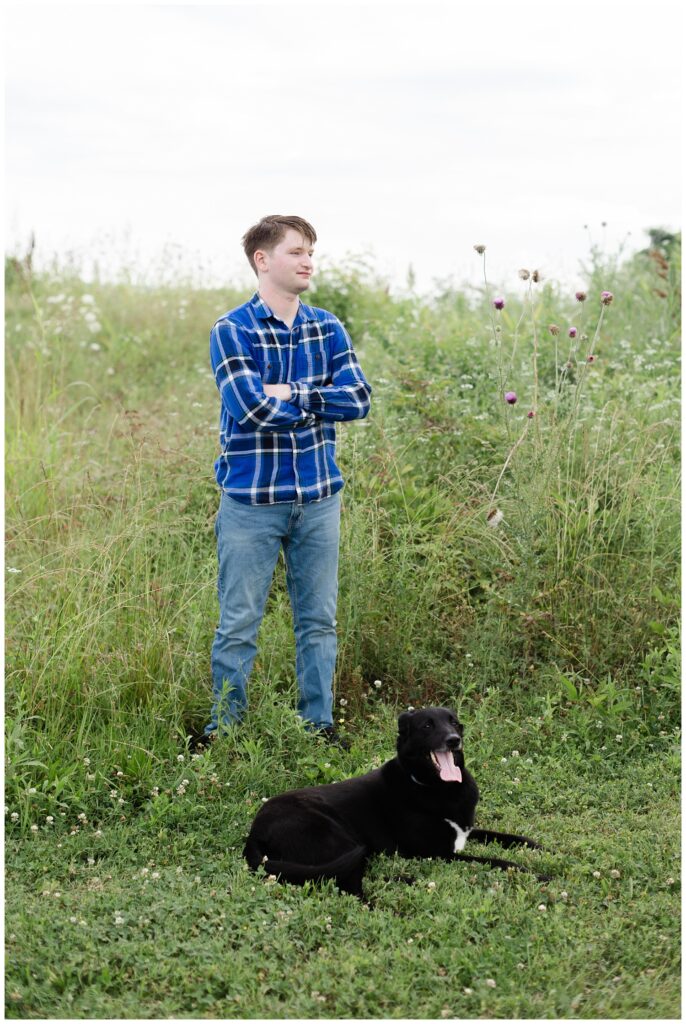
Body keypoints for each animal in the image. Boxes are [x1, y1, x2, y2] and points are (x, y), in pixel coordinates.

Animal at [244, 708, 544, 892]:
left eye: (454, 722)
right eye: (427, 725)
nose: (453, 740)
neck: (433, 786)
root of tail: (255, 831)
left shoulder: (465, 830)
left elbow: (506, 837)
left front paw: (540, 848)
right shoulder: (437, 852)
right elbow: (497, 861)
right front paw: (536, 873)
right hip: (338, 837)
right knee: (348, 884)